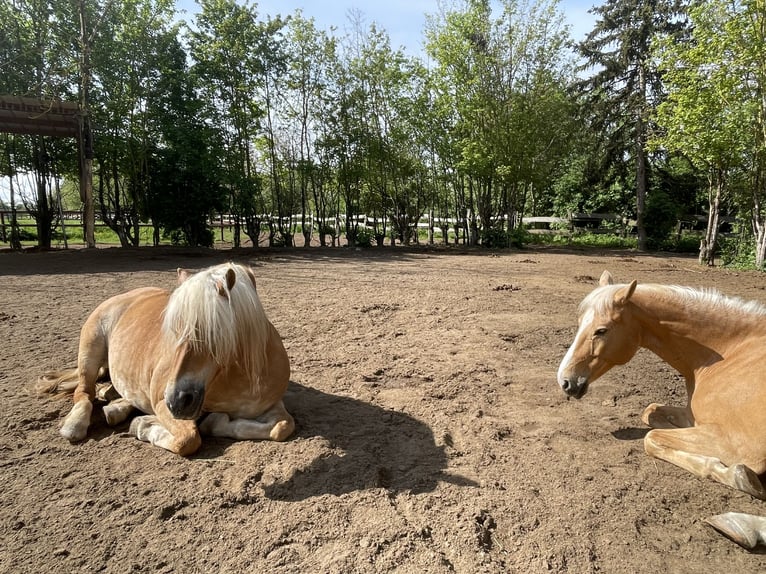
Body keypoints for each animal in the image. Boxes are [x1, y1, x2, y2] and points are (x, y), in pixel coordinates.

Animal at [39, 264, 296, 456]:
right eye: (173, 331)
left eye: (212, 332)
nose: (177, 400)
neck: (234, 378)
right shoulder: (163, 404)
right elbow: (188, 439)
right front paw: (142, 426)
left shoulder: (269, 405)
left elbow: (283, 427)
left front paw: (215, 422)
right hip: (90, 349)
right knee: (84, 392)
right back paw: (75, 424)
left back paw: (115, 406)